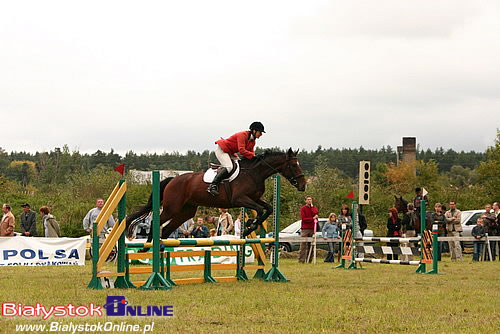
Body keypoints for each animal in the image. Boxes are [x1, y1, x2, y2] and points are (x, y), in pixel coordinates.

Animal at [127, 149, 306, 248]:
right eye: (293, 165)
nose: (303, 185)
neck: (254, 173)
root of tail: (173, 179)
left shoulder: (253, 198)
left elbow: (268, 208)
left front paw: (249, 225)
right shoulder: (239, 199)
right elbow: (260, 210)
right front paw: (249, 227)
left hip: (186, 212)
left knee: (166, 230)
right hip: (172, 207)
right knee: (156, 221)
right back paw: (147, 246)